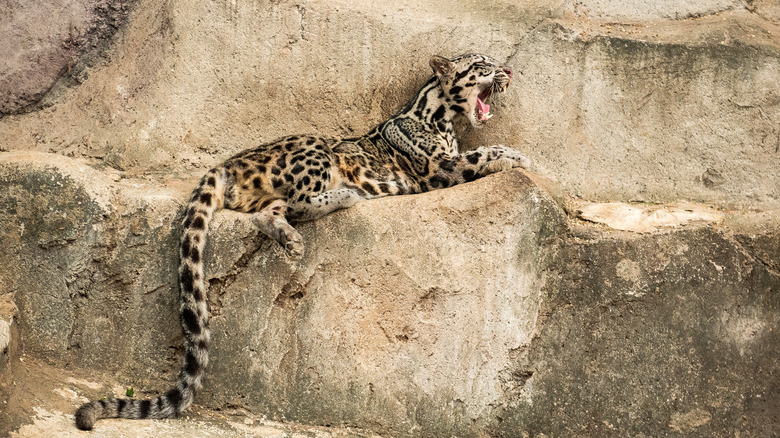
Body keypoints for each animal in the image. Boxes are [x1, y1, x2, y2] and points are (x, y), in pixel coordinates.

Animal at [75, 53, 530, 430]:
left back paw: (294, 239)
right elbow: (480, 155)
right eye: (482, 63)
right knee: (296, 200)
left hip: (277, 192)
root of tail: (230, 162)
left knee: (270, 212)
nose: (509, 71)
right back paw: (343, 196)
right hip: (314, 152)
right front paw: (516, 155)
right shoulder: (440, 168)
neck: (444, 122)